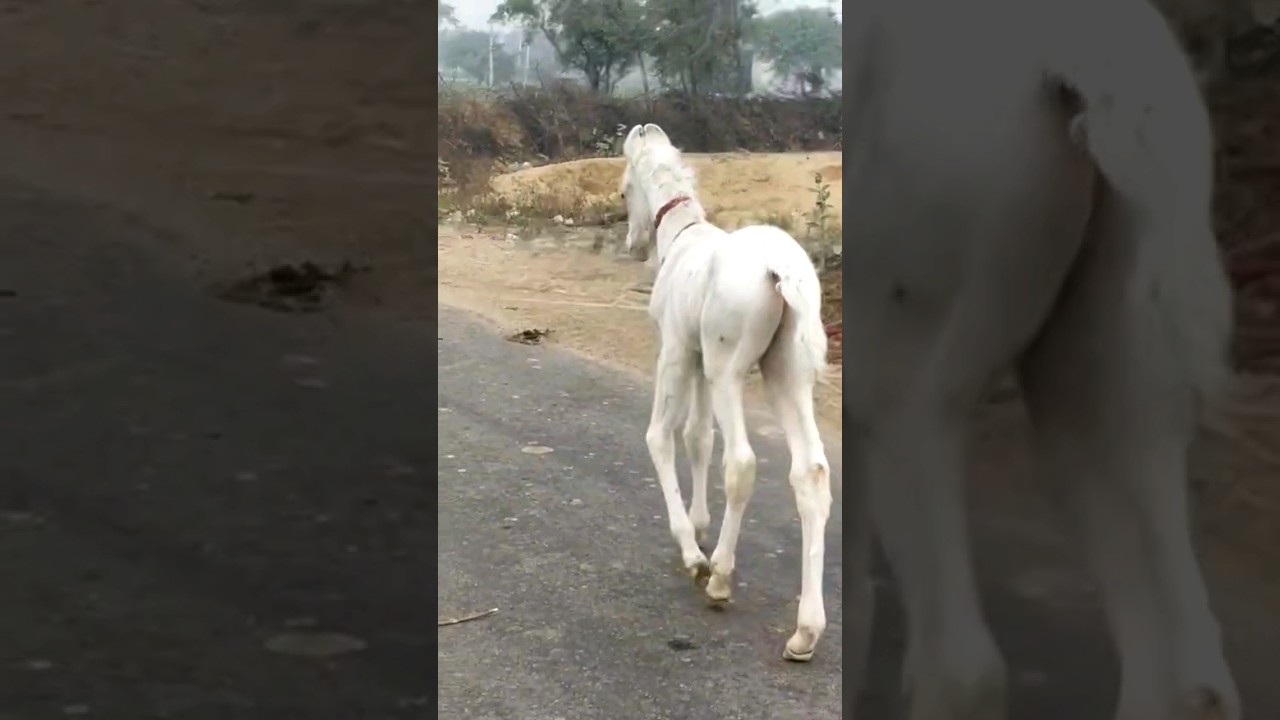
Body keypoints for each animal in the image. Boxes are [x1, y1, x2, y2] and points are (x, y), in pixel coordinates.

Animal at [618, 123, 834, 662]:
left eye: (623, 190)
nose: (632, 243)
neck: (683, 241)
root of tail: (783, 271)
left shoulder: (677, 351)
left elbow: (661, 435)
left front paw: (692, 549)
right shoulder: (697, 358)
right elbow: (698, 437)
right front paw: (698, 524)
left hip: (728, 369)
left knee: (742, 463)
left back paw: (719, 576)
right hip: (784, 373)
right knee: (812, 473)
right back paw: (806, 631)